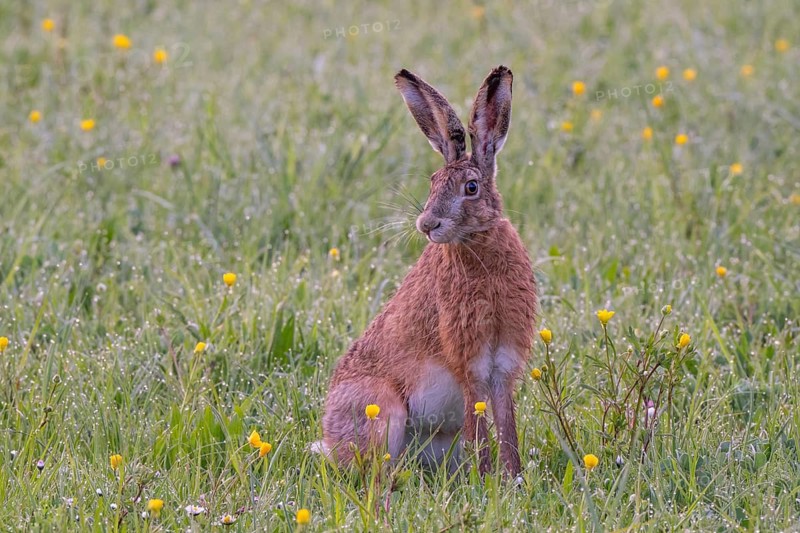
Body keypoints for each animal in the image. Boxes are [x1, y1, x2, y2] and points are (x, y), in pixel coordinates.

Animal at [314, 66, 537, 476]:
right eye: (432, 183)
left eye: (471, 187)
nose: (426, 224)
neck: (478, 246)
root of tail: (329, 443)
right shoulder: (469, 360)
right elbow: (481, 425)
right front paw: (488, 478)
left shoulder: (503, 363)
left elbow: (505, 424)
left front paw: (512, 477)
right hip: (380, 410)